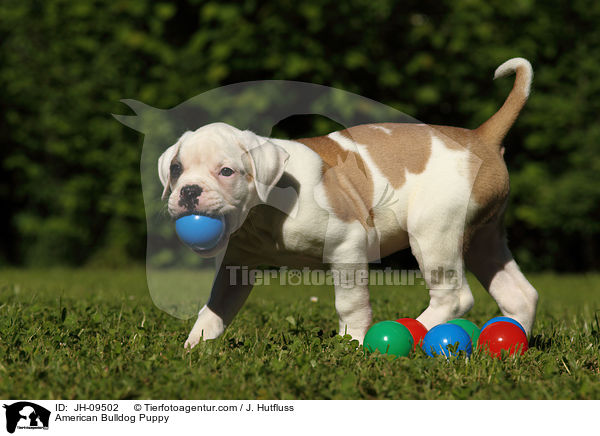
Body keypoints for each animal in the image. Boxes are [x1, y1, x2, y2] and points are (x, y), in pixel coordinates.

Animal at [156, 58, 540, 350]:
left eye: (226, 171)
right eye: (176, 169)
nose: (189, 191)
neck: (263, 209)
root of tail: (481, 137)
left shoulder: (348, 244)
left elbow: (350, 303)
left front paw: (352, 344)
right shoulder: (238, 264)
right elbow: (215, 308)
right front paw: (195, 345)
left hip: (435, 232)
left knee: (455, 297)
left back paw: (415, 330)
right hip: (484, 239)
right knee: (520, 294)